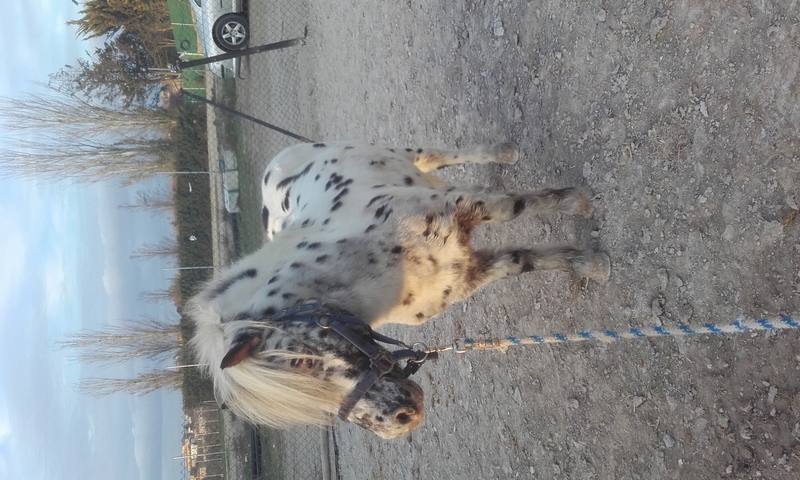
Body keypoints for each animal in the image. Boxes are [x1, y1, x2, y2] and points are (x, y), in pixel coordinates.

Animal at [188, 141, 610, 439]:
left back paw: (504, 152)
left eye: (304, 364)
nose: (400, 421)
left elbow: (518, 206)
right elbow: (523, 260)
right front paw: (587, 263)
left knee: (441, 154)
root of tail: (272, 171)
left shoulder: (462, 204)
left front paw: (579, 208)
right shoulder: (464, 272)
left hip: (403, 154)